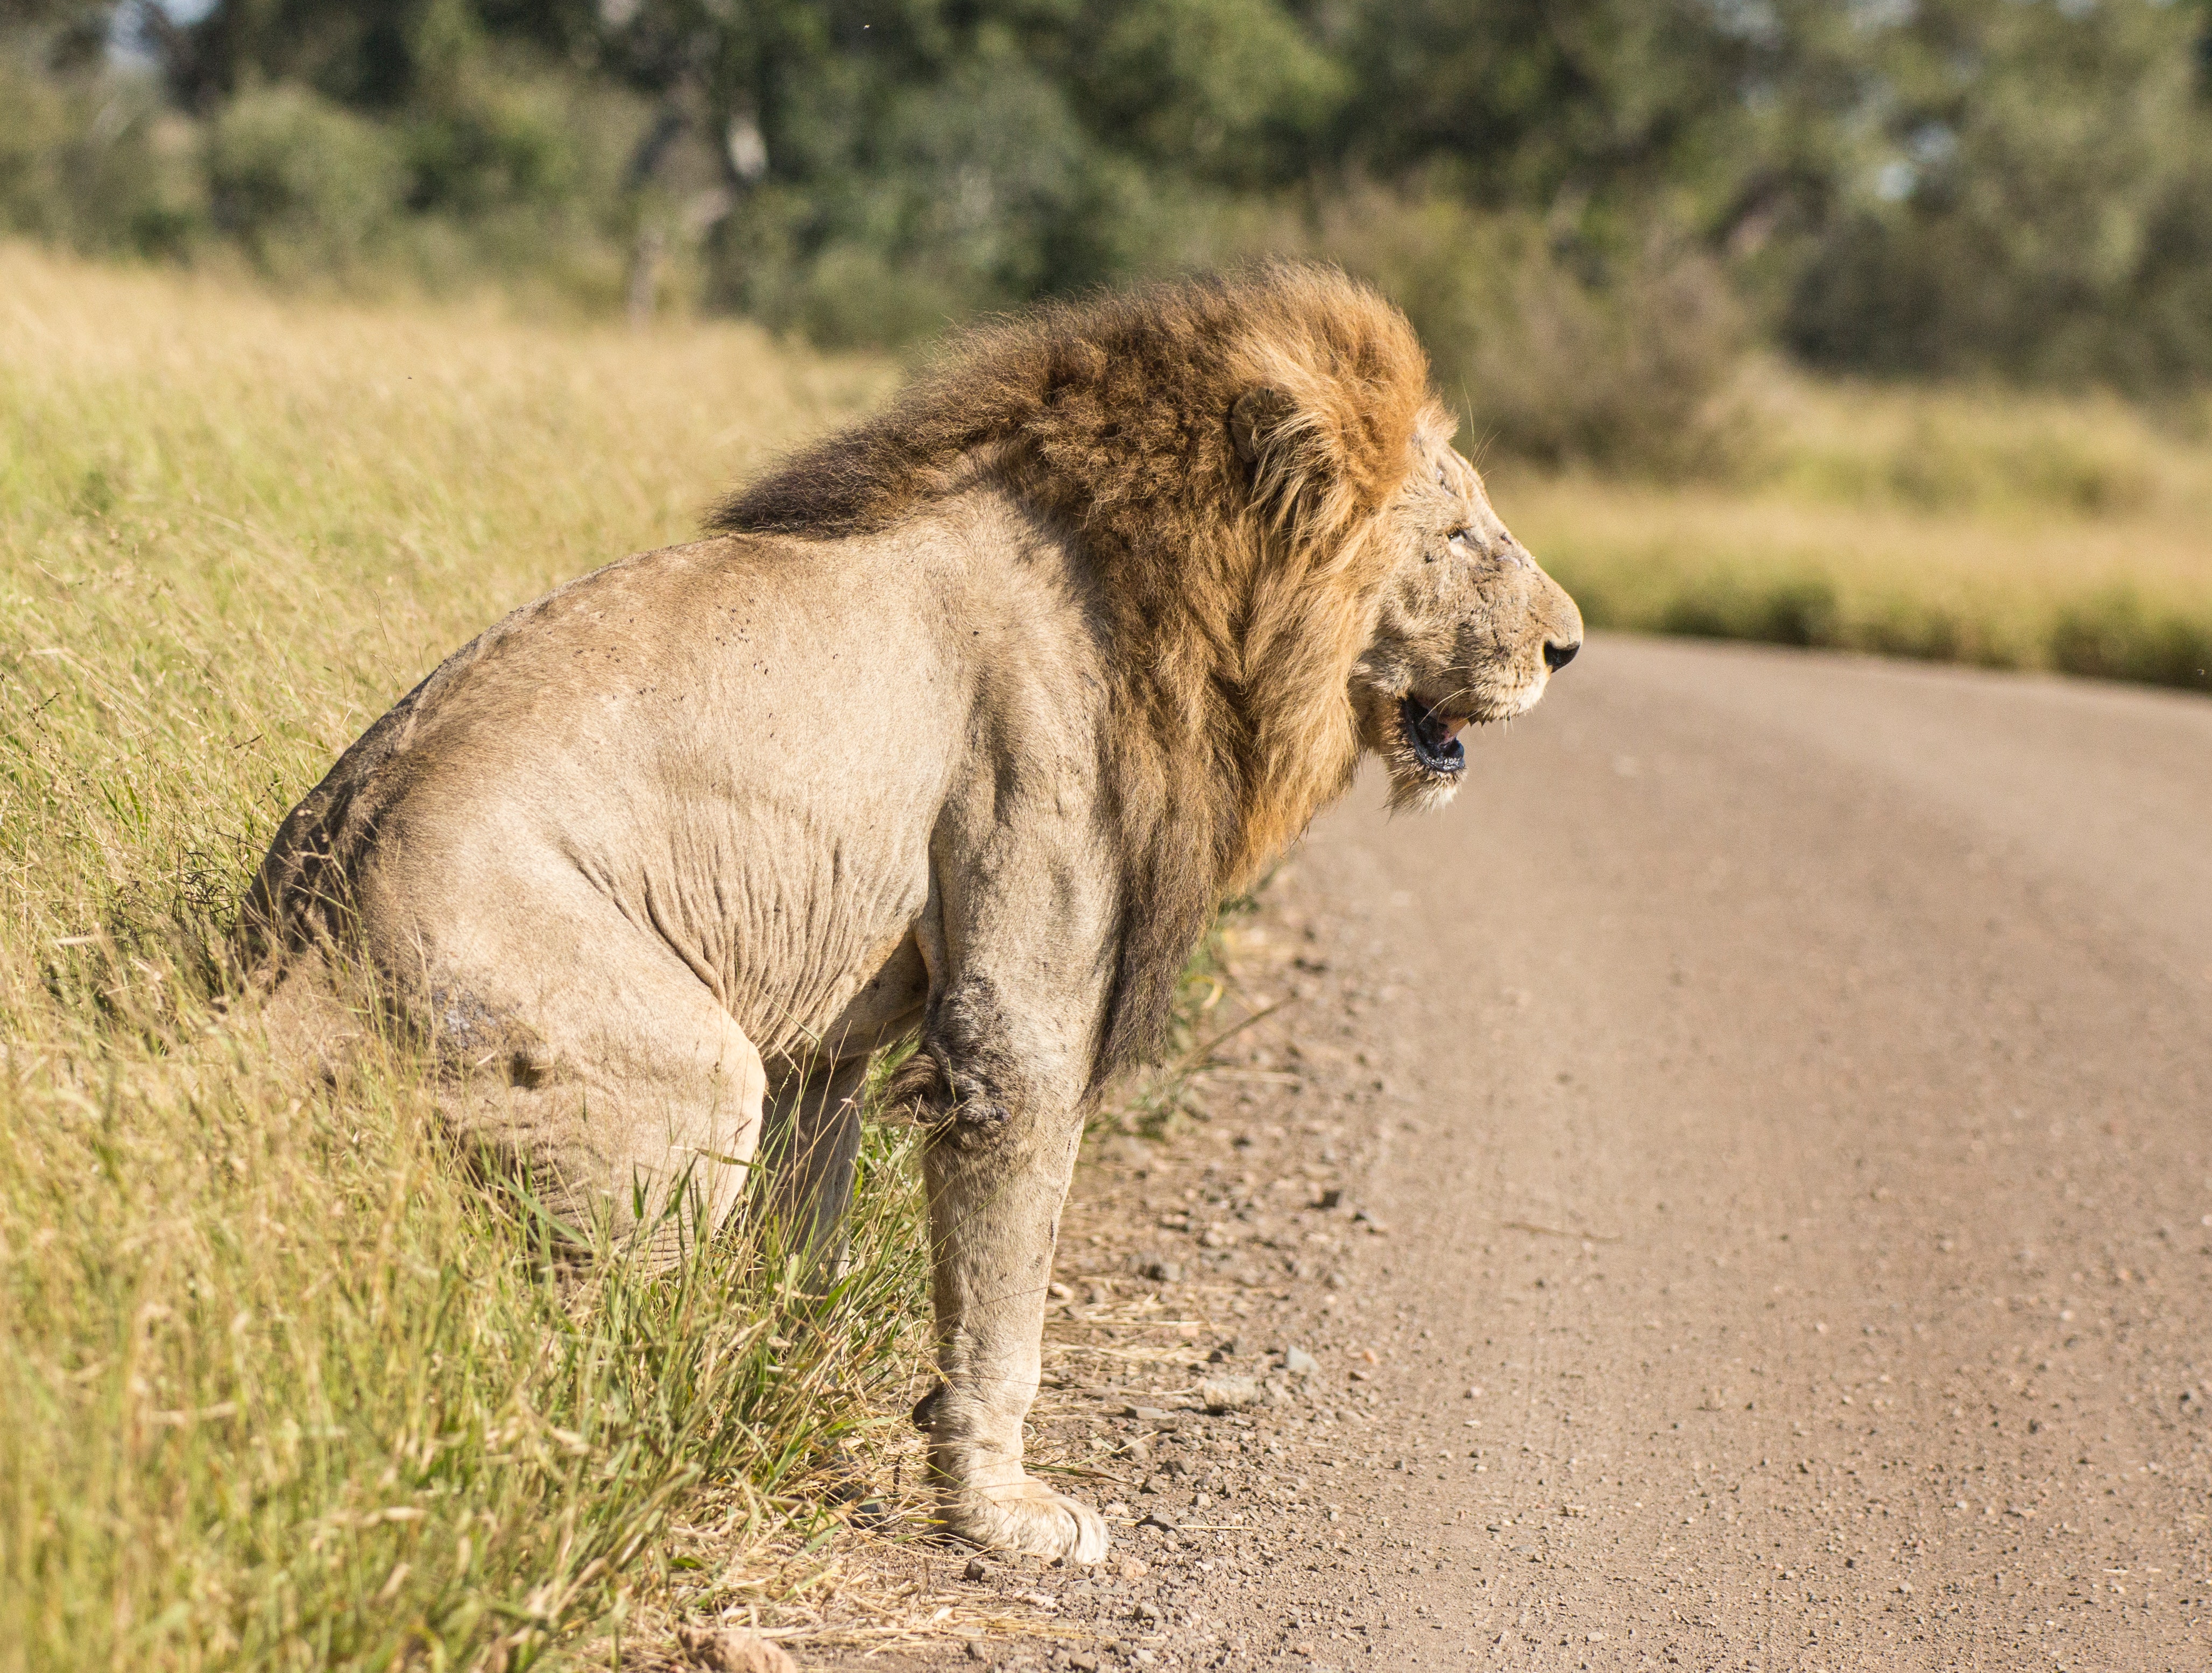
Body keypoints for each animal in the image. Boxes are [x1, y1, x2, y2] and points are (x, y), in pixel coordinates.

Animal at [242, 258, 1584, 1558]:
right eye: (1459, 535)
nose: (1570, 648)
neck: (1179, 603)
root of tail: (287, 956)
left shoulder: (823, 1039)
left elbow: (805, 1247)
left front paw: (785, 1397)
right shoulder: (1016, 1007)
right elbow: (1007, 1297)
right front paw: (1001, 1511)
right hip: (670, 1071)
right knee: (576, 1358)